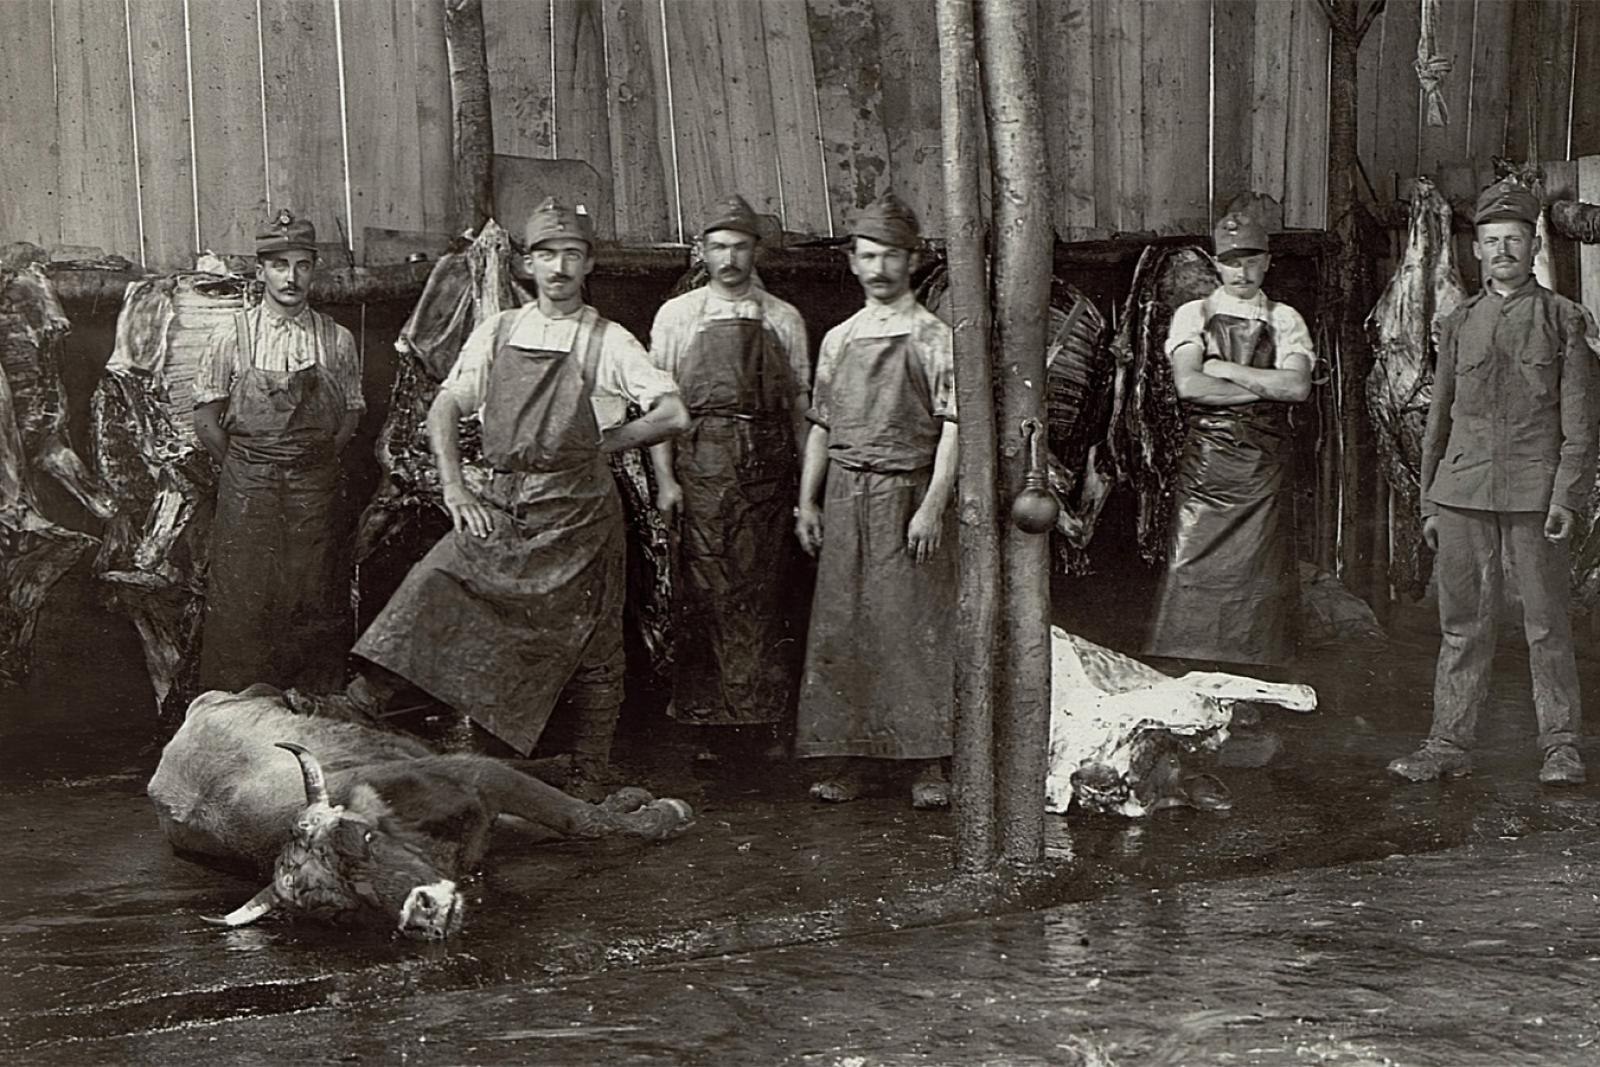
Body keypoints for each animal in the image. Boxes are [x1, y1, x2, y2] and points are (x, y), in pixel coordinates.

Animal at [148, 685, 694, 940]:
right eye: (341, 911)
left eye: (362, 839)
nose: (423, 912)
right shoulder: (484, 813)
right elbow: (557, 823)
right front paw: (634, 804)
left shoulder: (477, 775)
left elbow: (580, 818)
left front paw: (661, 813)